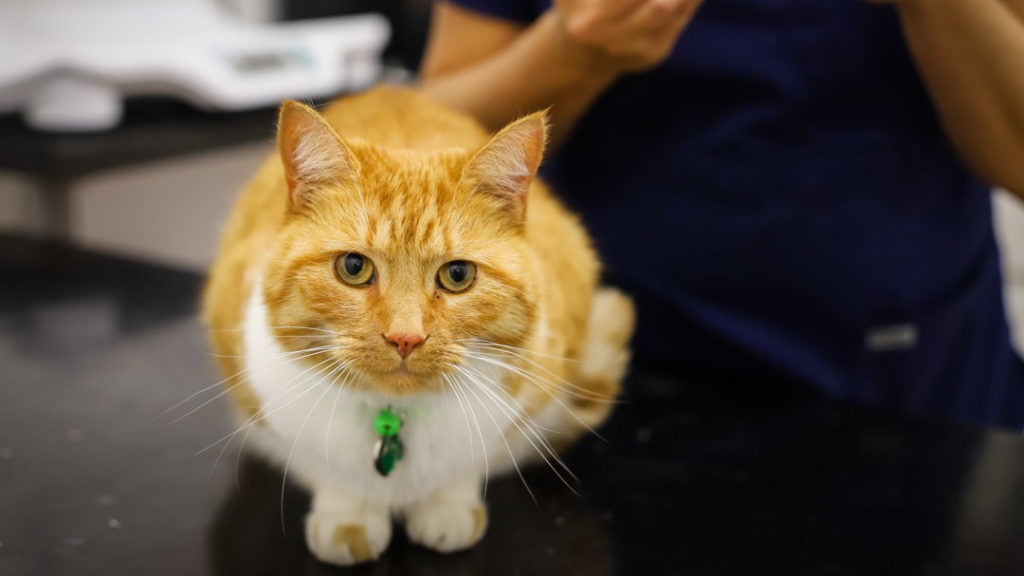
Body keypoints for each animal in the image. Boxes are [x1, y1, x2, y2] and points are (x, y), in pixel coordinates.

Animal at [199, 87, 630, 561]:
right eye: (353, 267)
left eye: (457, 275)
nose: (405, 337)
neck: (395, 417)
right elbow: (327, 472)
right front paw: (347, 515)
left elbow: (465, 468)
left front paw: (447, 508)